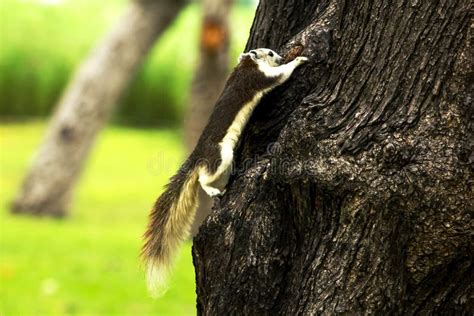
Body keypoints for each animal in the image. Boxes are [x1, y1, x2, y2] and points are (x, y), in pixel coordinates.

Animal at [143, 47, 310, 296]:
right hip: (221, 155)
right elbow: (280, 76)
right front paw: (298, 60)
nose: (281, 56)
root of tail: (198, 155)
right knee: (203, 178)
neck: (246, 66)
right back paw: (213, 190)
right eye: (270, 53)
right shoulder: (259, 77)